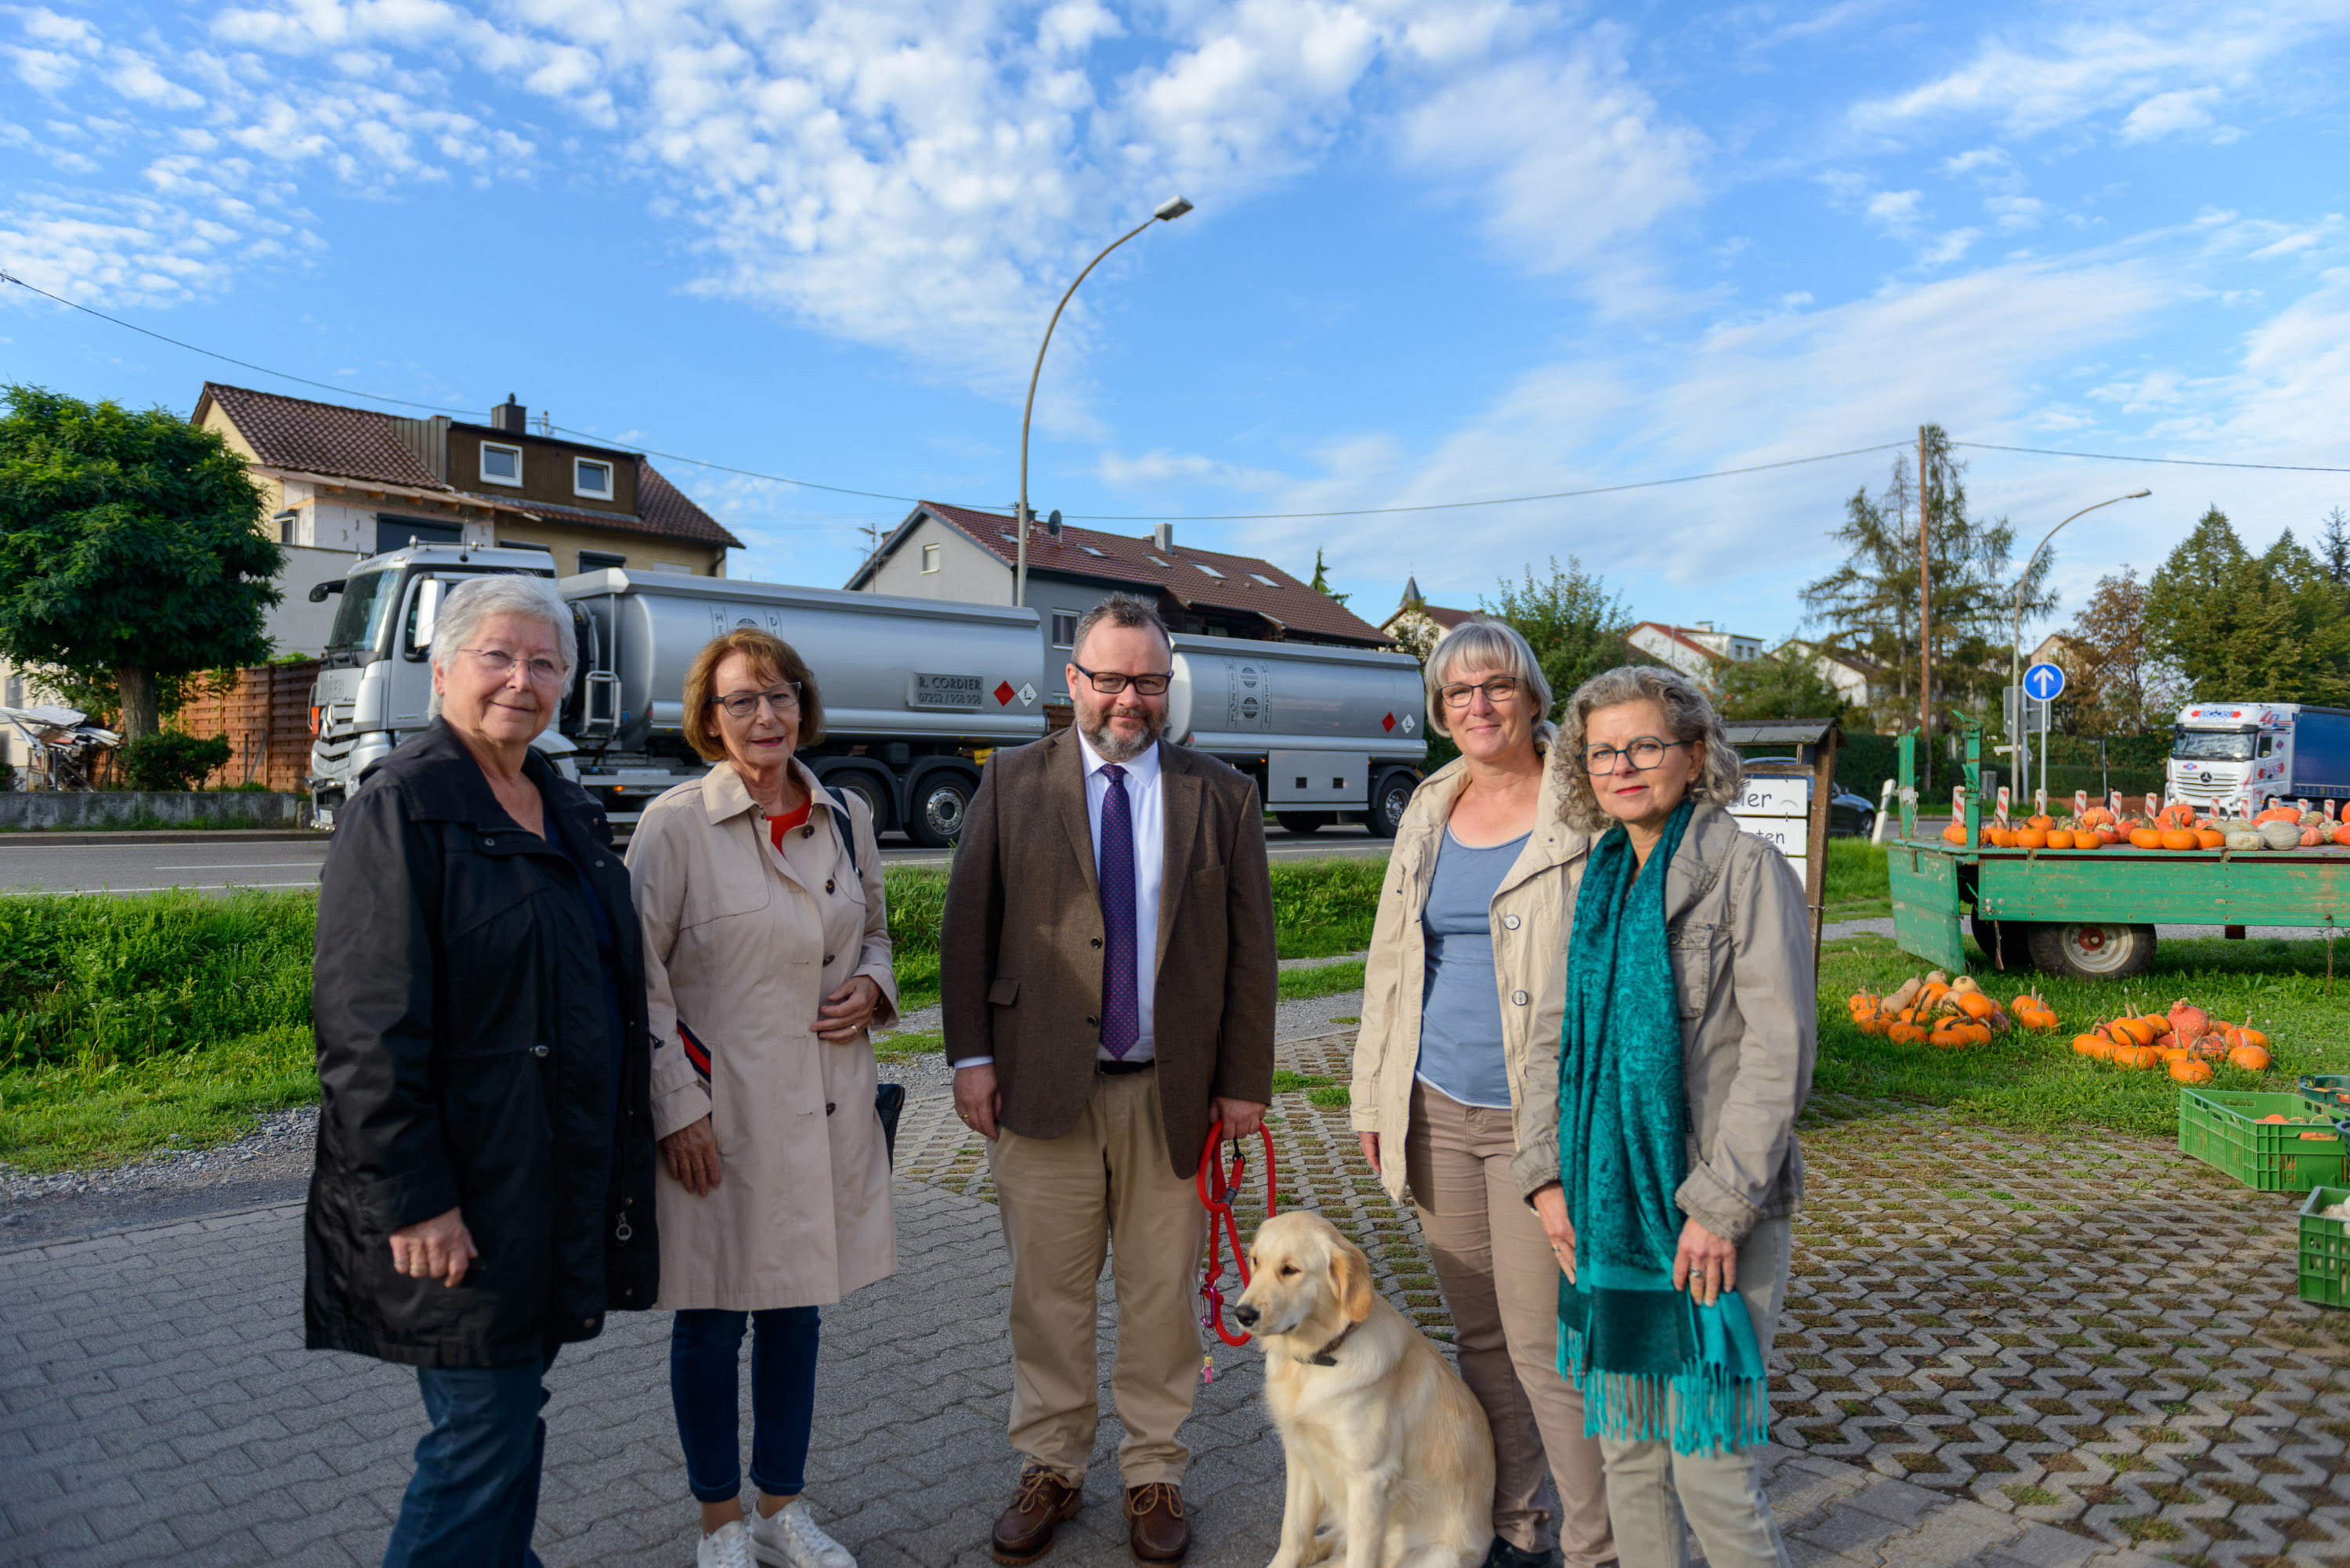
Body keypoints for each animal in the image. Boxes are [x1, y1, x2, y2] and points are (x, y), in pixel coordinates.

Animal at [1231, 1212, 1485, 1568]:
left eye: (1290, 1270)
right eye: (1255, 1261)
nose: (1242, 1314)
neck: (1321, 1357)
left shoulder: (1370, 1480)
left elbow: (1359, 1556)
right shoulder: (1301, 1452)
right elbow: (1293, 1533)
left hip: (1438, 1557)